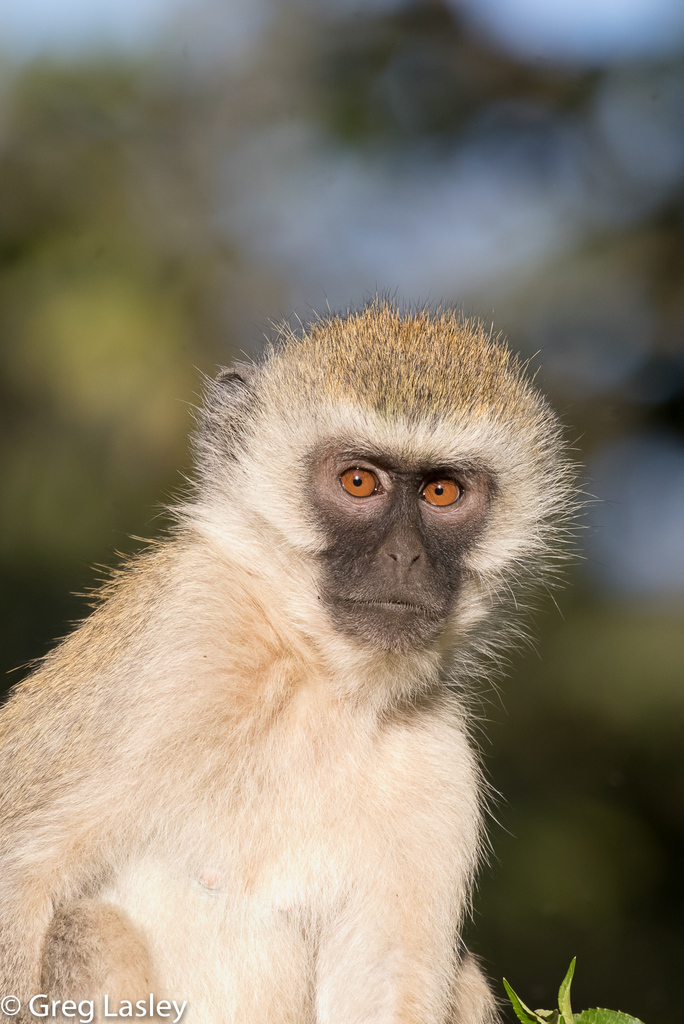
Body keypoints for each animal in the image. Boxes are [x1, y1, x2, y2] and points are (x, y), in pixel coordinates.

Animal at [0, 303, 572, 1024]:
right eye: (359, 481)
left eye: (442, 491)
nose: (406, 558)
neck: (317, 675)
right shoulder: (182, 644)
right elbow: (18, 878)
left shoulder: (435, 762)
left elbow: (385, 986)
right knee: (91, 926)